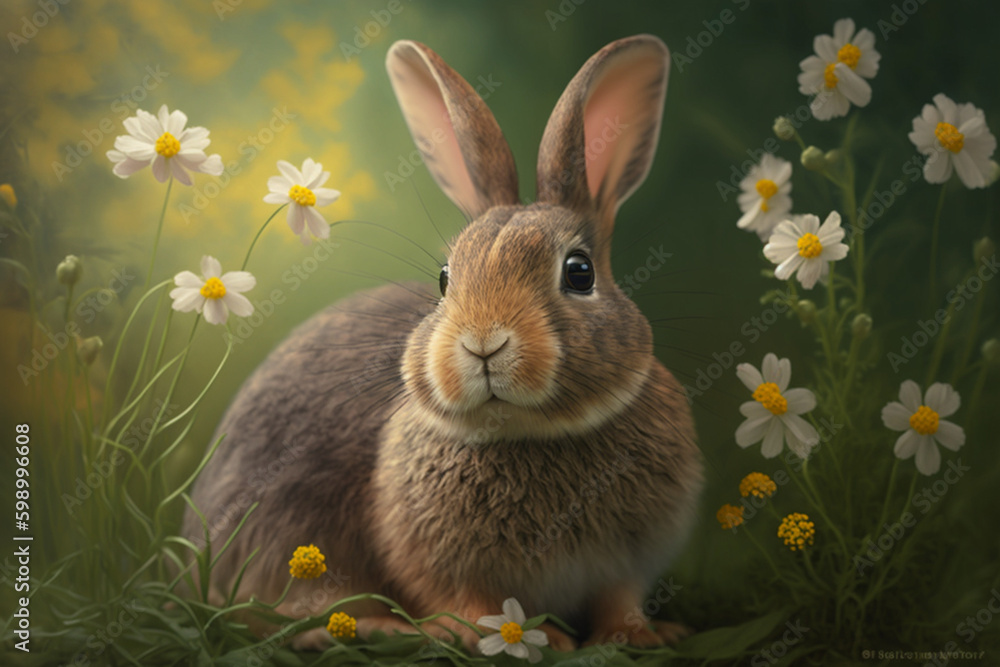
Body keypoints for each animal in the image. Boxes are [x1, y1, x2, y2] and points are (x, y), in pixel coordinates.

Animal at [183, 34, 703, 653]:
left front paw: (644, 636)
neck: (531, 432)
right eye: (444, 279)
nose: (483, 345)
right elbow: (466, 602)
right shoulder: (432, 557)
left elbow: (618, 600)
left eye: (580, 273)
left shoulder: (623, 561)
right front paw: (522, 638)